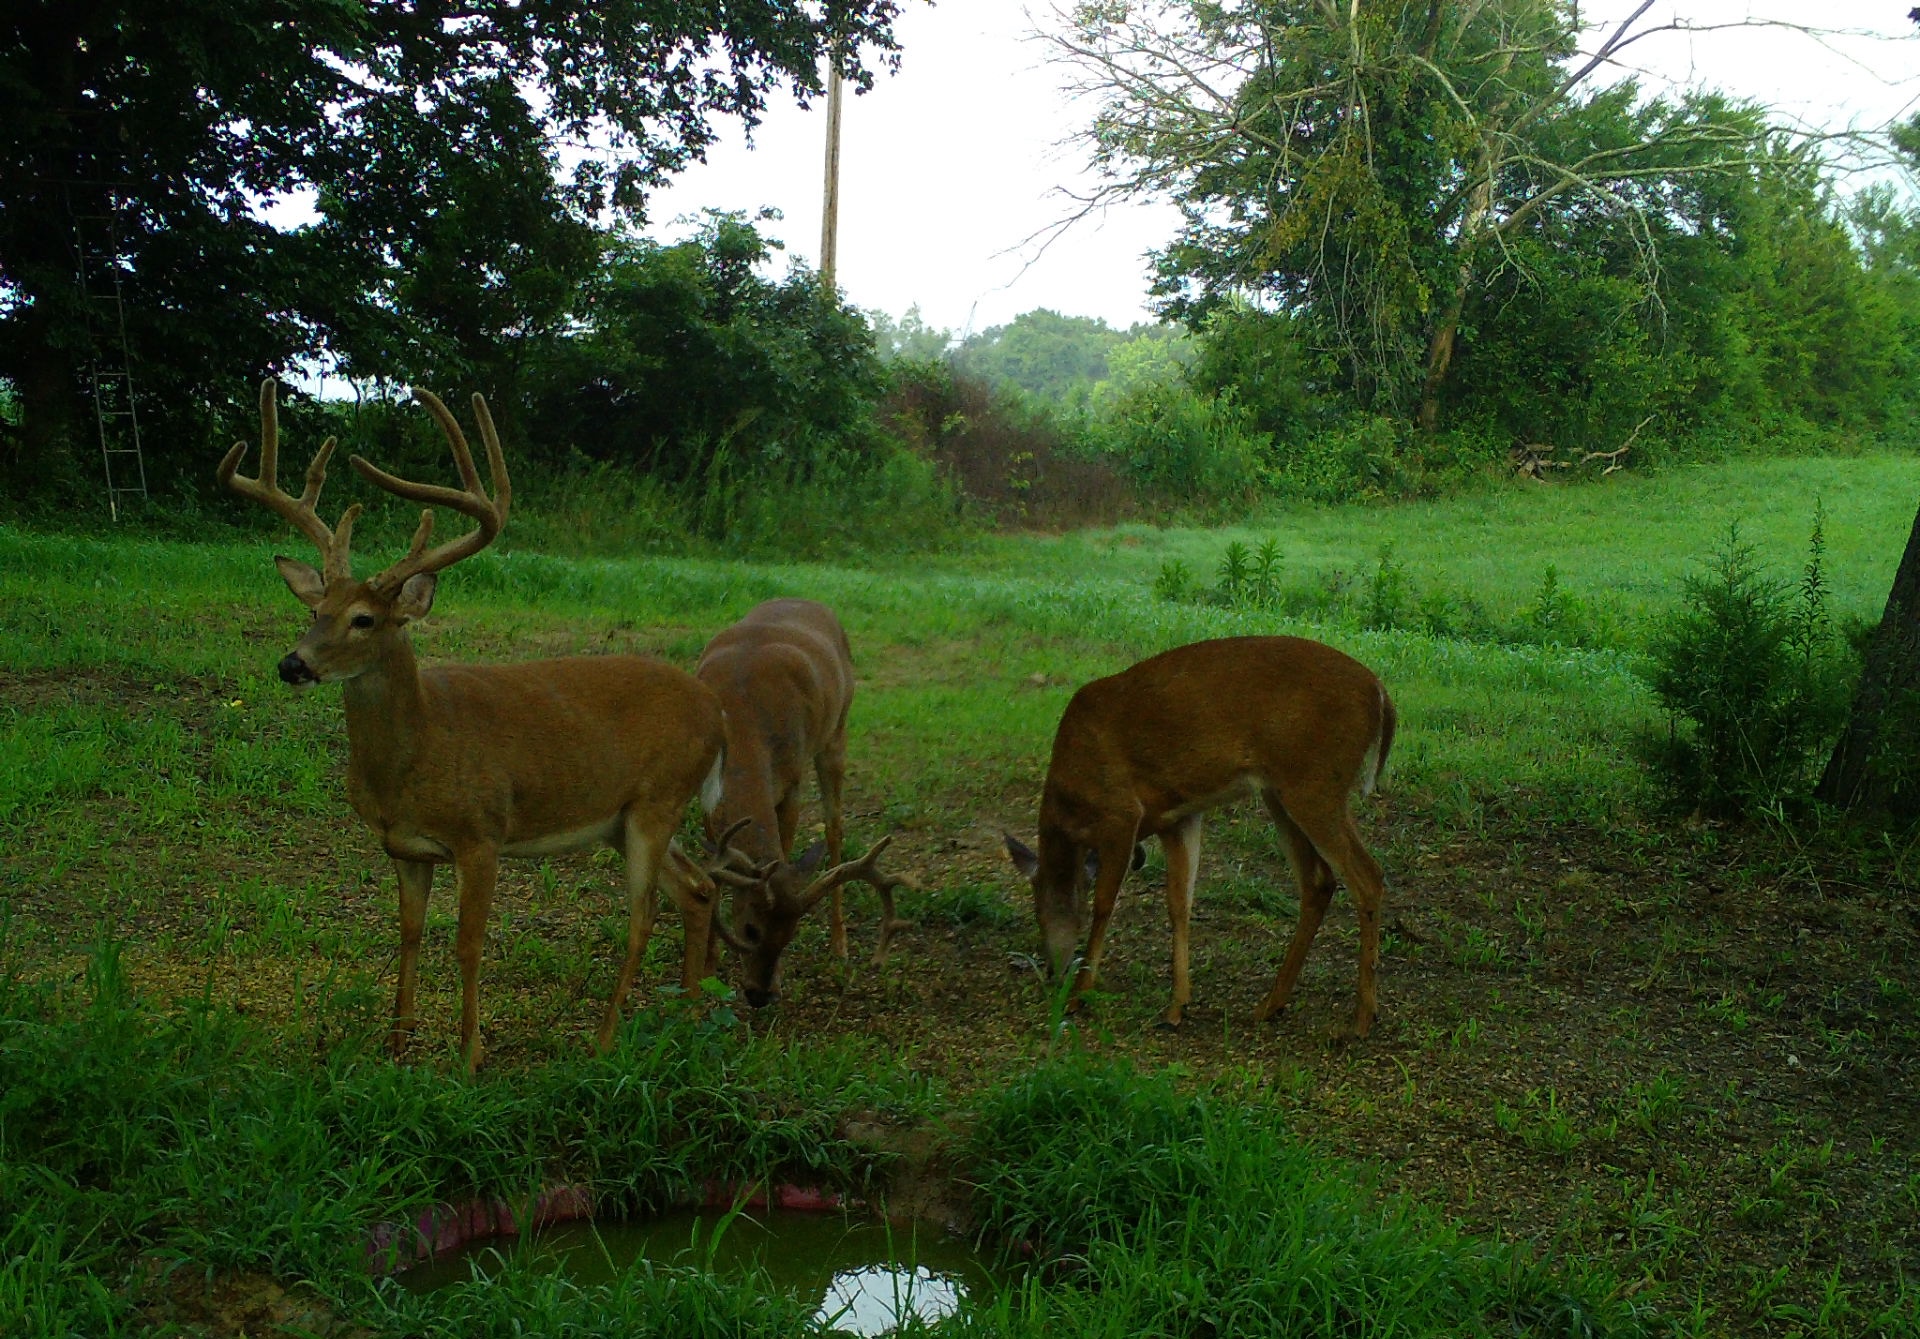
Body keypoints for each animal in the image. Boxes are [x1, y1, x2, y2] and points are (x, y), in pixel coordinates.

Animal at [221, 379, 738, 1071]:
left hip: (658, 800)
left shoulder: (482, 834)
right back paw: (688, 1015)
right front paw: (397, 1043)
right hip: (623, 819)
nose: (292, 664)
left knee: (644, 914)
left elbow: (469, 944)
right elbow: (410, 934)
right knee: (699, 888)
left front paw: (468, 1056)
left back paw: (605, 1042)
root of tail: (717, 709)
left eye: (364, 619)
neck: (416, 756)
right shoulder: (403, 847)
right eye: (315, 610)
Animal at [692, 598, 913, 1008]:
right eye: (750, 928)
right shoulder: (705, 794)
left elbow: (786, 849)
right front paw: (706, 966)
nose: (760, 995)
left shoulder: (791, 782)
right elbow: (715, 868)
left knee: (834, 830)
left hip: (836, 734)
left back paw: (840, 943)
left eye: (791, 934)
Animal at [1004, 635, 1396, 1037]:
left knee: (1368, 876)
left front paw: (1080, 994)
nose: (1052, 971)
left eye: (1039, 908)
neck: (1068, 806)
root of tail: (1381, 694)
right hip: (1282, 791)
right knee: (1318, 880)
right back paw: (1271, 1004)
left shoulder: (1121, 812)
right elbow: (1179, 905)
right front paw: (1178, 1005)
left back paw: (1362, 1017)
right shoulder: (1177, 817)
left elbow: (1104, 905)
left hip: (1315, 785)